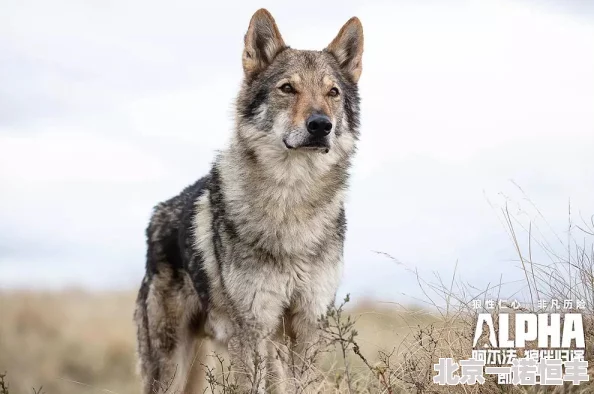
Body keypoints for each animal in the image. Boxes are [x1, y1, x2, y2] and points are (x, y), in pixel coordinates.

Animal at [135, 7, 364, 392]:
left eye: (332, 92)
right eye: (287, 88)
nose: (321, 125)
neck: (291, 204)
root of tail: (157, 214)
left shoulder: (306, 325)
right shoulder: (251, 328)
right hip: (172, 365)